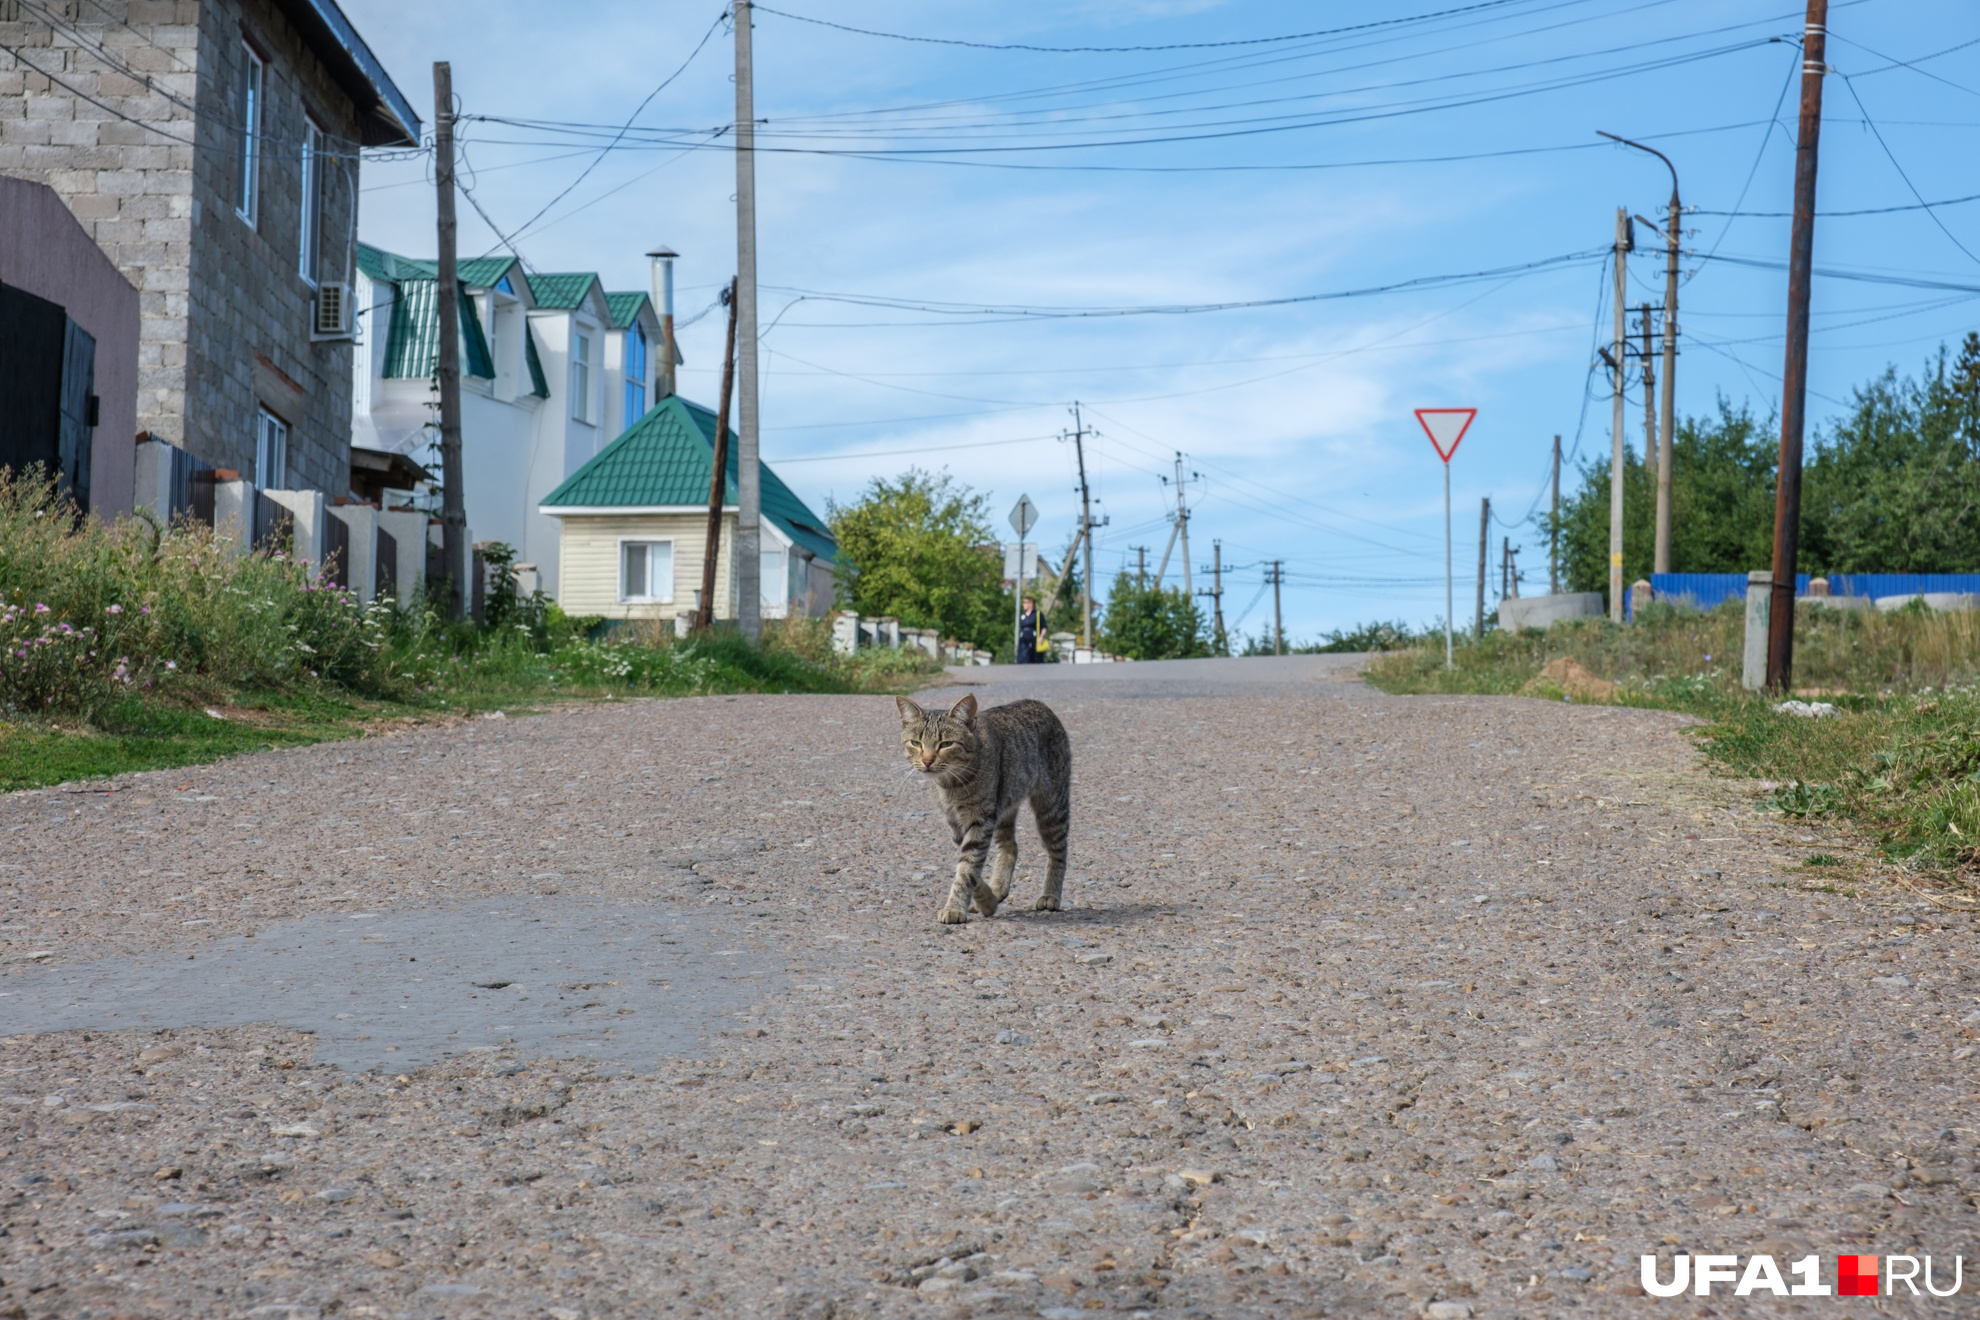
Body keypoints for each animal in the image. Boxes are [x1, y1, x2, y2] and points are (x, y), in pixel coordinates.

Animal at [902, 696, 1077, 926]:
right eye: (916, 743)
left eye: (946, 744)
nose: (927, 761)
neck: (951, 785)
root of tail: (1037, 702)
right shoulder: (956, 825)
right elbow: (970, 868)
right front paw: (987, 900)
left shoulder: (980, 821)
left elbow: (967, 869)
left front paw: (955, 908)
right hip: (1004, 806)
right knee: (1011, 846)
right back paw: (998, 888)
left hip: (1052, 806)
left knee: (1059, 851)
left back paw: (1050, 895)